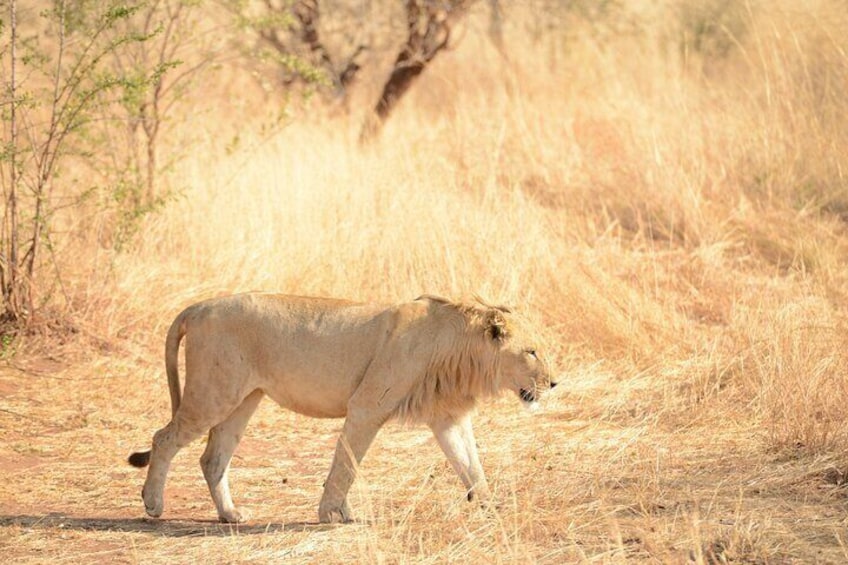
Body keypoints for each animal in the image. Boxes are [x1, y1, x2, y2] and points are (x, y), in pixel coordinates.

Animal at [129, 294, 556, 524]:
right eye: (532, 351)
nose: (554, 383)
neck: (460, 351)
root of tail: (198, 307)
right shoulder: (367, 404)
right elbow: (346, 464)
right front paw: (332, 513)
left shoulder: (448, 418)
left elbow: (470, 465)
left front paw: (491, 508)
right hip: (213, 394)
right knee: (164, 438)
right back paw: (153, 503)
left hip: (243, 400)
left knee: (213, 459)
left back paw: (230, 514)